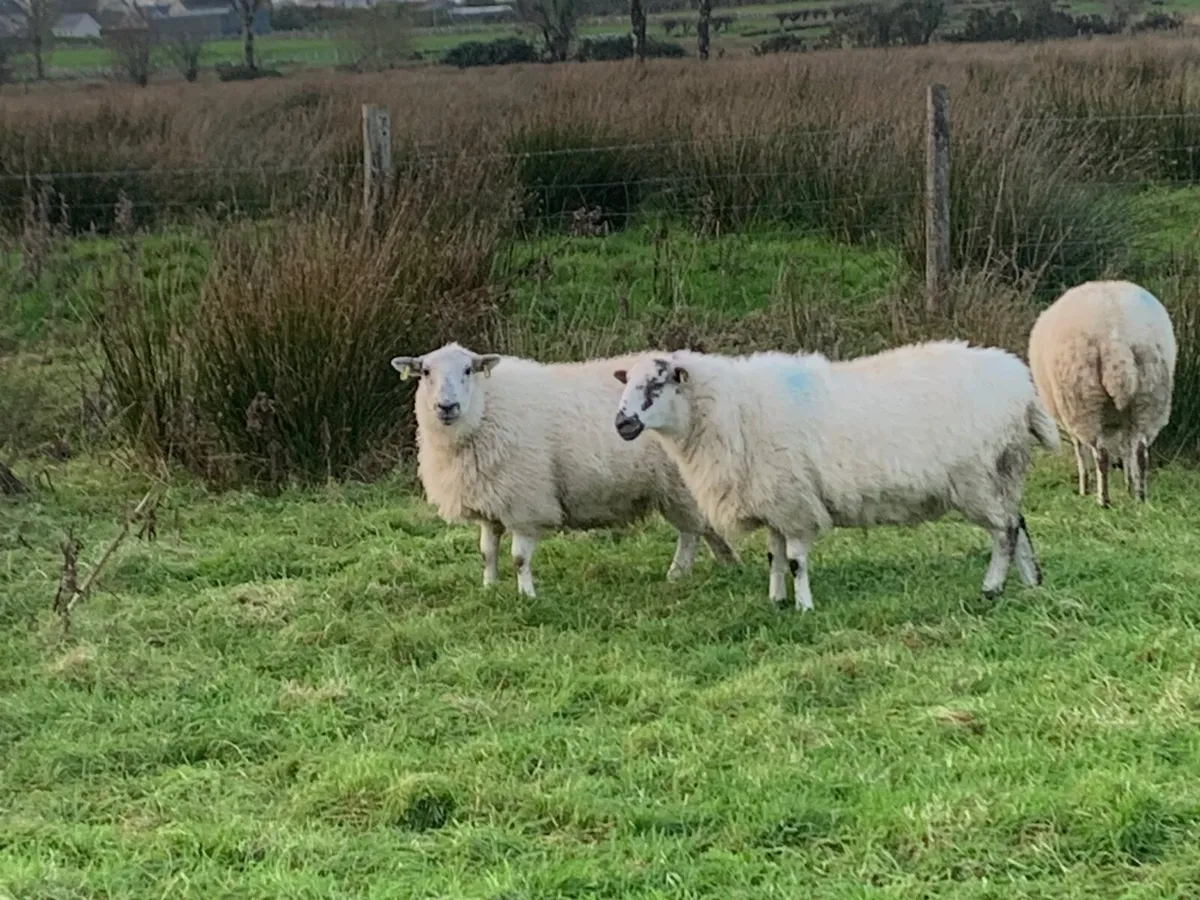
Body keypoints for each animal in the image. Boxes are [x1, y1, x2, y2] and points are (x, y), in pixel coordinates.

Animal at [390, 342, 738, 598]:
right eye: (425, 372)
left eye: (467, 370)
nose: (446, 407)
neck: (485, 408)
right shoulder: (491, 501)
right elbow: (487, 552)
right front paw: (489, 589)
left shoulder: (525, 502)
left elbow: (519, 558)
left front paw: (527, 596)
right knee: (701, 528)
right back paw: (726, 563)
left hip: (679, 485)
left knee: (691, 532)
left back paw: (678, 573)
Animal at [612, 341, 1060, 610]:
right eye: (627, 382)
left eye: (656, 384)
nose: (621, 424)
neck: (727, 410)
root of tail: (1022, 386)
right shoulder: (774, 501)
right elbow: (774, 557)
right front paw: (775, 601)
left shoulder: (792, 503)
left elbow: (795, 561)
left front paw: (804, 607)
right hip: (1004, 471)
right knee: (1018, 523)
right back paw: (1031, 581)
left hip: (978, 477)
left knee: (1003, 531)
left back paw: (992, 586)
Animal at [1027, 280, 1176, 507]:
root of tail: (1117, 339)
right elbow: (1126, 450)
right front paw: (1128, 485)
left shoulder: (1072, 420)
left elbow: (1080, 452)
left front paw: (1084, 488)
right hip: (1150, 396)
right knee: (1140, 452)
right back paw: (1140, 497)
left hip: (1083, 401)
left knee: (1102, 454)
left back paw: (1103, 500)